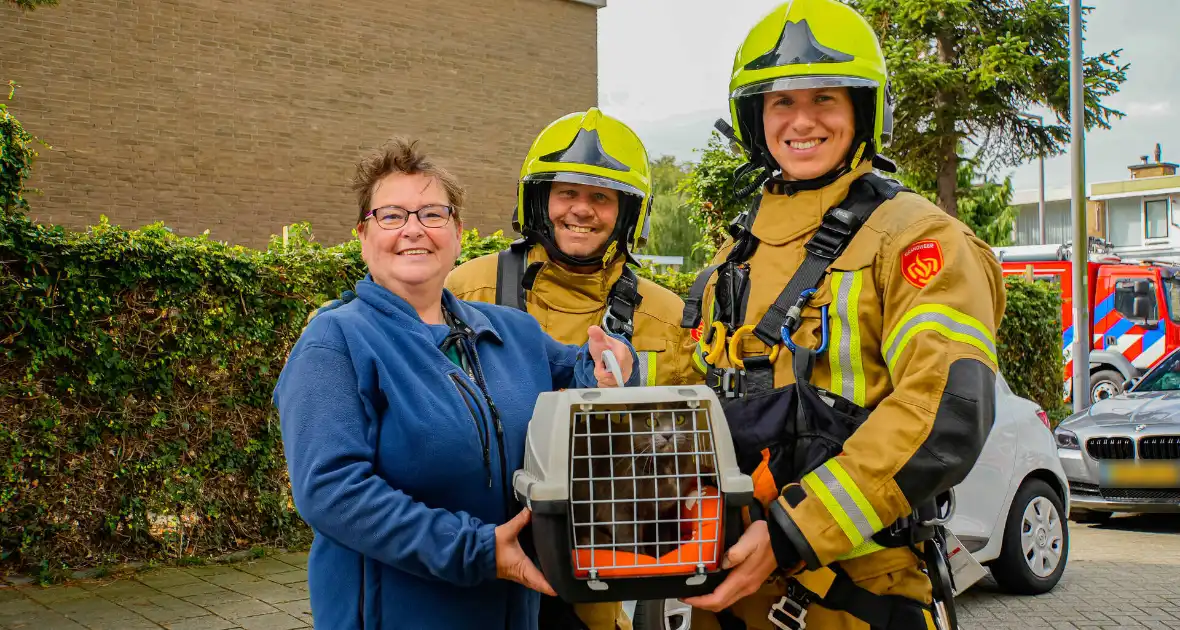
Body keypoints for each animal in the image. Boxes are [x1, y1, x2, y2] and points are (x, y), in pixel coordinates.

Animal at [514, 384, 755, 601]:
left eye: (679, 419)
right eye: (650, 421)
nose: (667, 435)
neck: (665, 469)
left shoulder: (666, 513)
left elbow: (663, 539)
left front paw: (662, 559)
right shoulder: (619, 507)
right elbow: (630, 540)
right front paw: (639, 562)